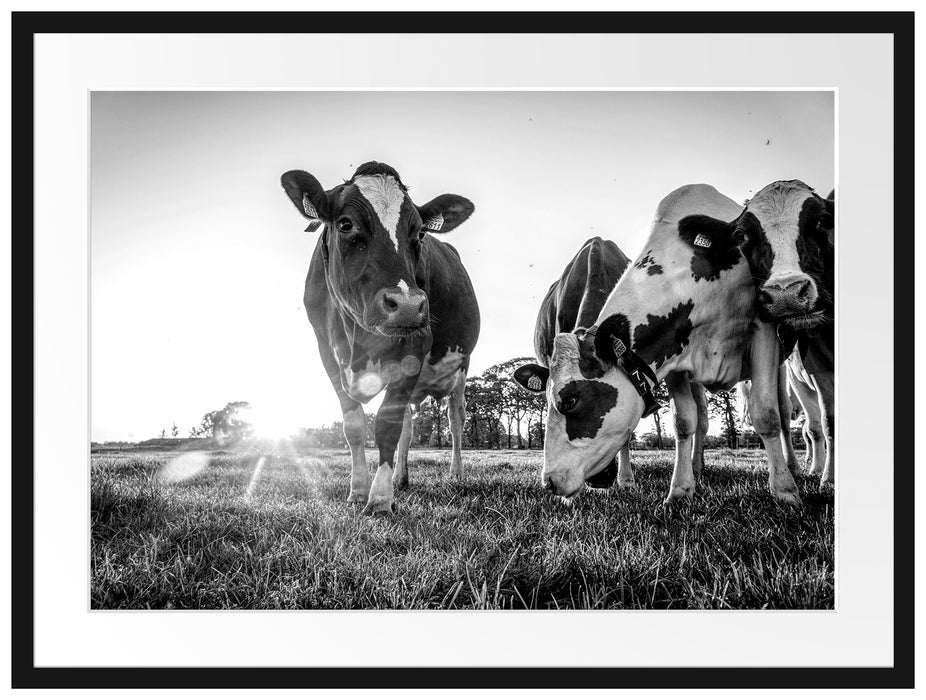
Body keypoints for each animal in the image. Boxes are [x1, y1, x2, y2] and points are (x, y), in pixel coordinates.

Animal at [280, 163, 482, 516]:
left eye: (420, 233)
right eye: (346, 224)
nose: (408, 305)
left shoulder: (416, 346)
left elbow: (387, 426)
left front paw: (379, 499)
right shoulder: (327, 353)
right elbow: (354, 426)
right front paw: (359, 490)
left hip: (461, 367)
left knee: (455, 420)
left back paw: (455, 475)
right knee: (409, 426)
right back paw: (401, 477)